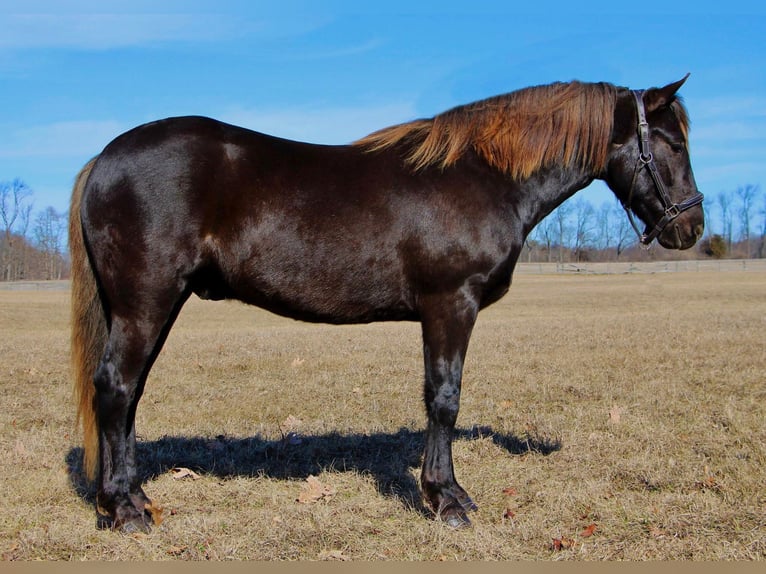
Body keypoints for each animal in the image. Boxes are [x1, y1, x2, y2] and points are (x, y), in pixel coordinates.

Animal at [69, 77, 704, 536]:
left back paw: (133, 498)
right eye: (673, 144)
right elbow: (444, 399)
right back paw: (123, 510)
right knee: (116, 388)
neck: (482, 175)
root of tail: (103, 157)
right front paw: (446, 498)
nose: (691, 226)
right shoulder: (451, 304)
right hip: (146, 303)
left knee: (127, 395)